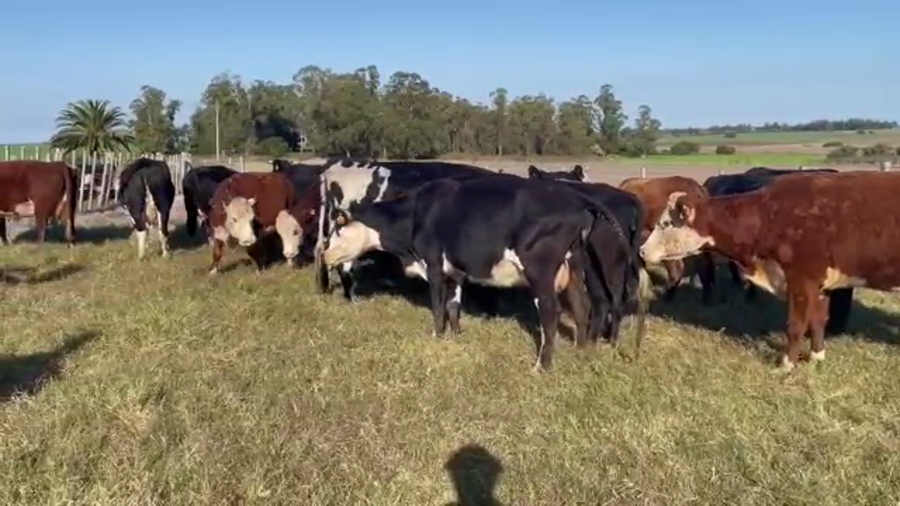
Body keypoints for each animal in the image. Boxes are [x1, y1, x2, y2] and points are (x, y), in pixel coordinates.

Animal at [321, 174, 648, 370]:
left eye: (337, 229)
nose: (324, 254)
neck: (415, 214)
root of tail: (576, 198)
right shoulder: (455, 271)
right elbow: (454, 305)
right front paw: (455, 335)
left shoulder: (434, 265)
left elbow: (438, 307)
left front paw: (437, 336)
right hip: (575, 267)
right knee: (583, 306)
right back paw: (582, 351)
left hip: (541, 271)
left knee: (552, 312)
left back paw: (542, 366)